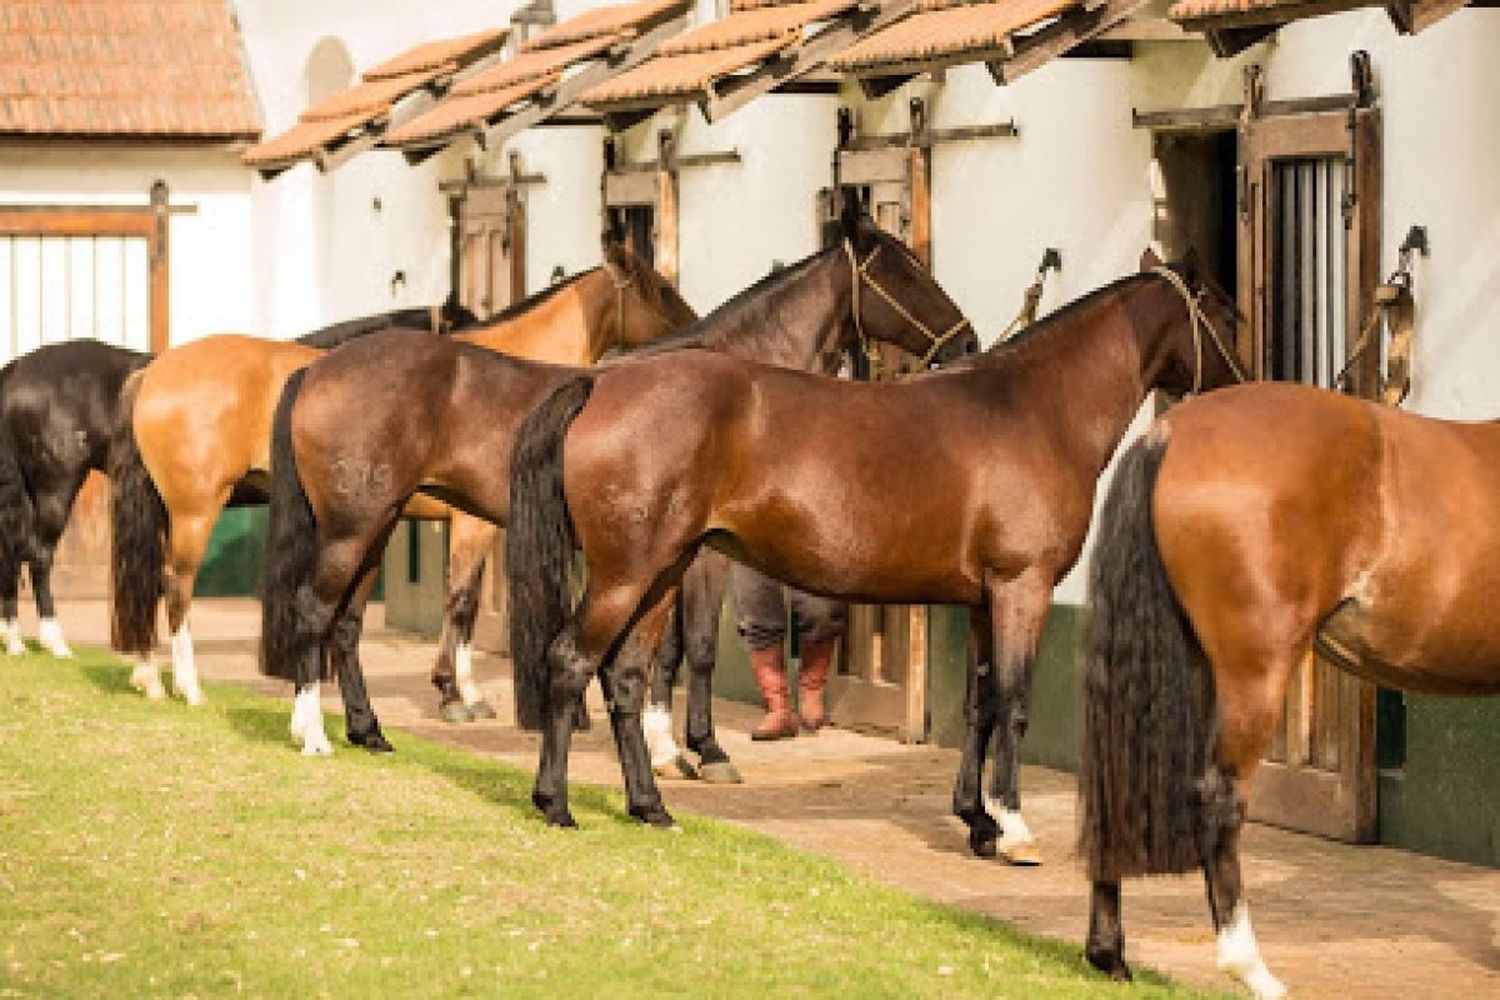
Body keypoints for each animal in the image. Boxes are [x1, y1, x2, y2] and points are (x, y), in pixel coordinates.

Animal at [102, 242, 672, 707]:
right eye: (663, 291)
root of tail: (154, 371)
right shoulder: (474, 525)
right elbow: (462, 601)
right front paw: (458, 692)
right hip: (196, 510)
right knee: (175, 586)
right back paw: (188, 685)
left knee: (146, 580)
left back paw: (149, 677)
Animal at [262, 205, 978, 773]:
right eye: (904, 274)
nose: (966, 341)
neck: (737, 393)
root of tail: (317, 368)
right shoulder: (701, 558)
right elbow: (695, 650)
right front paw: (702, 750)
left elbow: (661, 652)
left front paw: (664, 746)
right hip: (354, 530)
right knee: (314, 613)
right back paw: (313, 733)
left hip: (374, 527)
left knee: (345, 625)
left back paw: (368, 732)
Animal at [507, 250, 1242, 839]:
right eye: (1226, 315)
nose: (1246, 384)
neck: (1031, 409)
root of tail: (602, 381)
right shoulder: (1021, 589)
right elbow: (1015, 703)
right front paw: (1011, 826)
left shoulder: (985, 600)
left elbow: (980, 706)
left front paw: (976, 820)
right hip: (627, 575)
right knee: (571, 661)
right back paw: (556, 804)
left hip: (661, 575)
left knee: (625, 678)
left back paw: (650, 807)